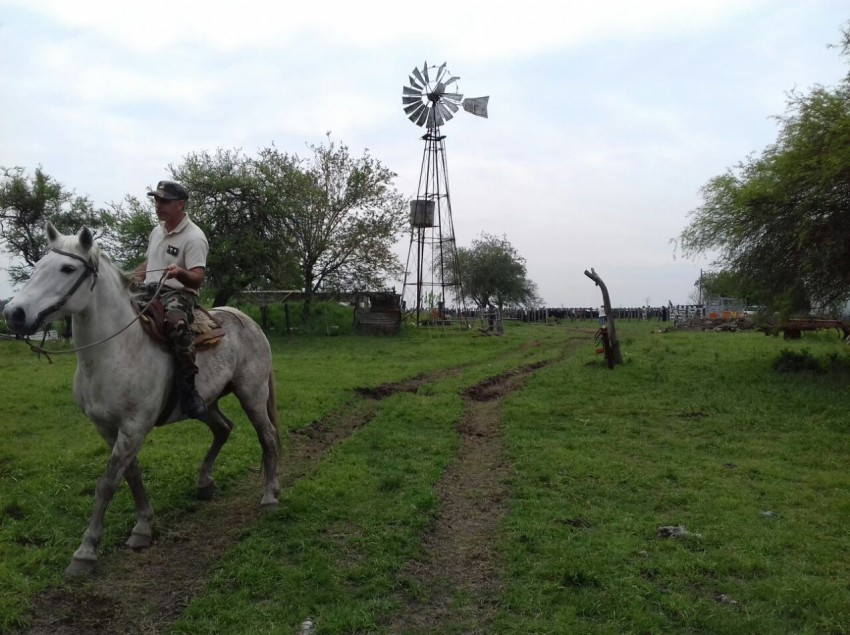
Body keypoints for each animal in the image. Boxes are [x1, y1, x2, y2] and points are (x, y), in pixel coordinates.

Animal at [4, 226, 282, 580]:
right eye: (38, 265)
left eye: (67, 268)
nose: (14, 314)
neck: (116, 351)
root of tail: (248, 320)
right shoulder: (108, 428)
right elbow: (131, 475)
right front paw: (142, 528)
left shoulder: (134, 426)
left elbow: (107, 483)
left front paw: (85, 552)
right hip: (205, 404)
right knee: (223, 429)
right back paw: (204, 483)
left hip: (252, 394)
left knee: (267, 437)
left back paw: (270, 496)